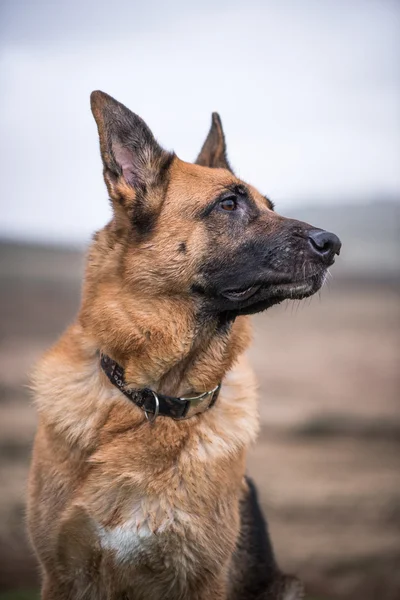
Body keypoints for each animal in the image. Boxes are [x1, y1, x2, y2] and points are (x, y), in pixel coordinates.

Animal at [27, 90, 340, 600]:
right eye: (229, 203)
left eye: (269, 205)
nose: (333, 244)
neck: (157, 397)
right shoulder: (63, 574)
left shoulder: (201, 578)